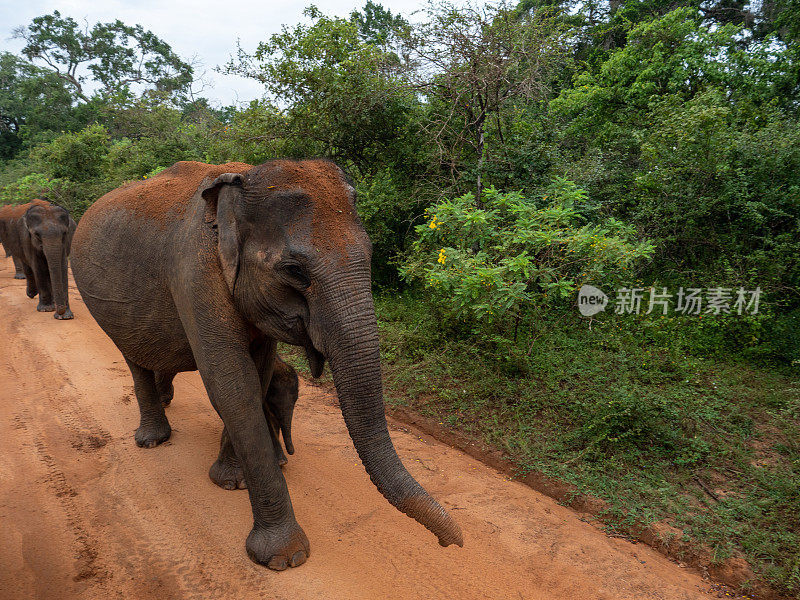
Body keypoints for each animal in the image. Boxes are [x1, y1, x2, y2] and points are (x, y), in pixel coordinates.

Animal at [72, 159, 466, 572]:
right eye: (294, 270)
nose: (452, 543)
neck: (242, 181)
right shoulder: (195, 272)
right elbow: (232, 385)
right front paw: (285, 558)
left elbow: (256, 376)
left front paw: (231, 481)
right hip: (106, 308)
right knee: (134, 361)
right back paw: (152, 440)